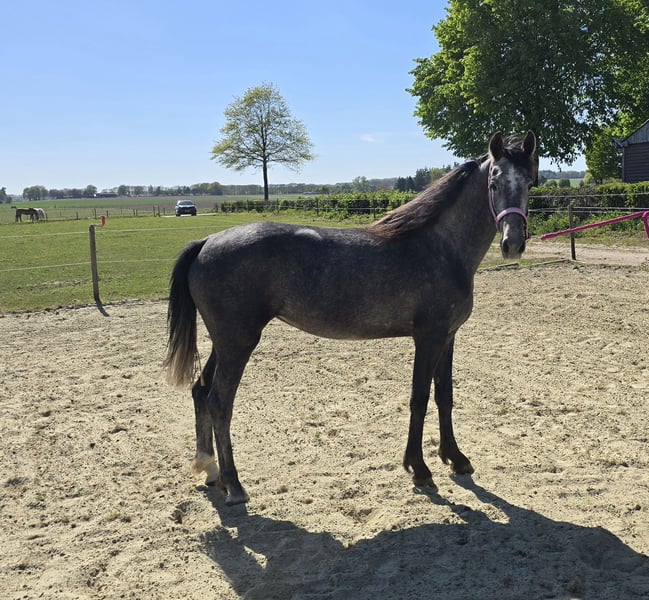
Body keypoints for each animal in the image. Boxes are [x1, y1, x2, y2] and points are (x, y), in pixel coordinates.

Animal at [165, 131, 537, 505]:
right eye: (493, 182)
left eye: (530, 182)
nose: (512, 244)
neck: (440, 248)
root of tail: (206, 242)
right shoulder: (428, 338)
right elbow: (418, 399)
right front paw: (419, 469)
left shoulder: (448, 337)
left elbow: (443, 396)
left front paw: (456, 459)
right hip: (238, 342)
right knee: (219, 402)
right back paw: (234, 484)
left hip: (225, 342)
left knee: (201, 392)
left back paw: (210, 471)